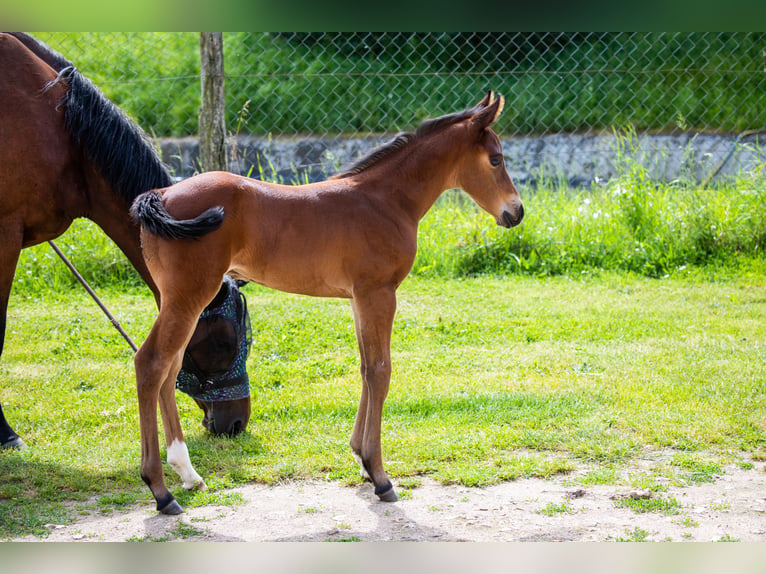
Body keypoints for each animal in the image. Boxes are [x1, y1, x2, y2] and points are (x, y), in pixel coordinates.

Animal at [134, 92, 528, 516]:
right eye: (496, 159)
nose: (516, 211)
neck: (386, 202)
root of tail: (161, 196)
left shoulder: (359, 298)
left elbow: (366, 368)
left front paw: (360, 458)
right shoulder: (379, 293)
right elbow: (381, 370)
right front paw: (380, 475)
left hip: (180, 299)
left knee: (170, 367)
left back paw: (188, 474)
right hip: (189, 295)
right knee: (150, 363)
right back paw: (161, 491)